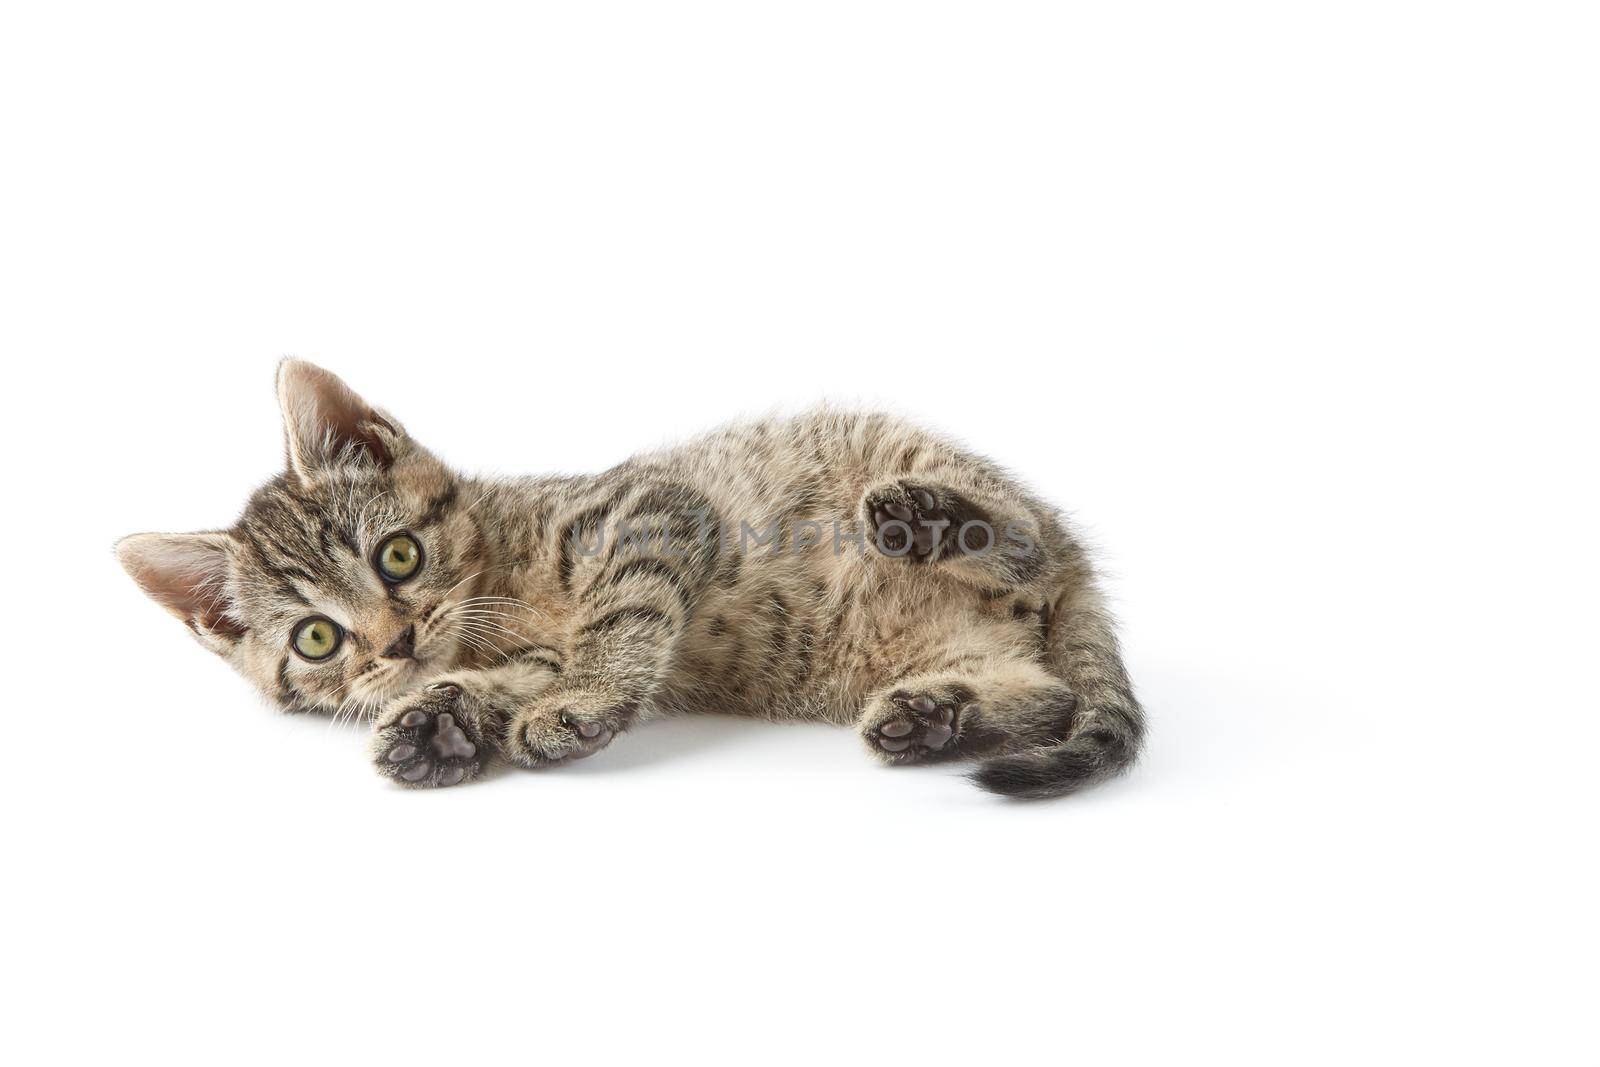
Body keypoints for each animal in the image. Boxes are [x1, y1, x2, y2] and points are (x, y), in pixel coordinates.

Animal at [116, 363, 1139, 796]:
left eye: (397, 554)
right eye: (318, 638)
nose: (397, 640)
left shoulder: (654, 506)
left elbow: (620, 615)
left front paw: (583, 699)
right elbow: (501, 681)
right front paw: (441, 723)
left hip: (955, 495)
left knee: (1023, 551)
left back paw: (932, 522)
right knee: (1047, 692)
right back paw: (937, 716)